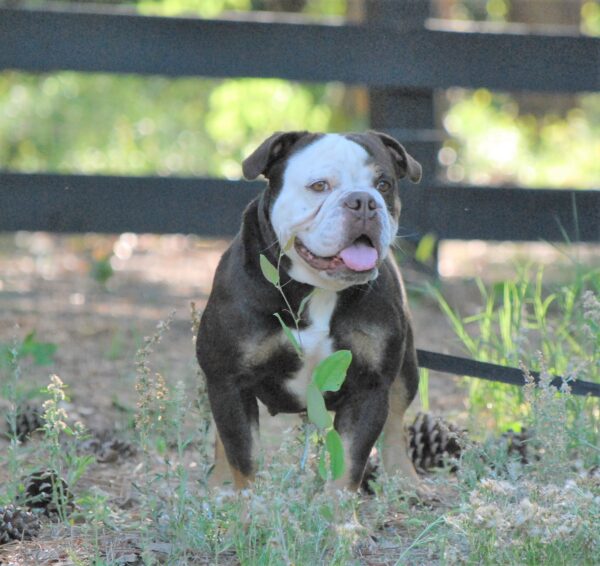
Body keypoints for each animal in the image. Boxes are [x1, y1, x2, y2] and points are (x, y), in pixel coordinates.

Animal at [197, 132, 422, 492]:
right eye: (319, 186)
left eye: (384, 184)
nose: (364, 201)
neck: (317, 290)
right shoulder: (228, 381)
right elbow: (243, 456)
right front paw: (247, 505)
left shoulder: (369, 387)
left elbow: (350, 461)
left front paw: (338, 508)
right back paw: (219, 485)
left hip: (406, 371)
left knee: (396, 422)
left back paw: (407, 483)